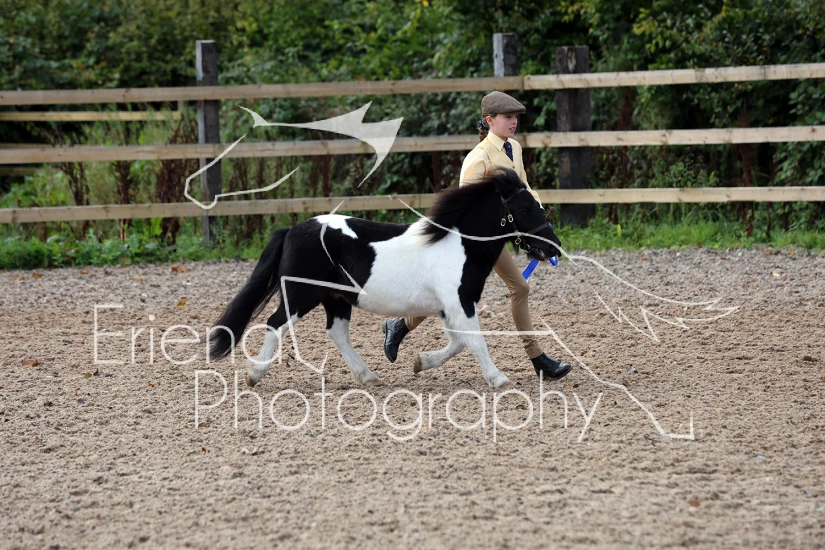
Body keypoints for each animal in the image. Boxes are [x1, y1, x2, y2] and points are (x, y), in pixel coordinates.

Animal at [209, 168, 561, 389]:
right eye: (525, 208)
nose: (553, 246)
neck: (457, 244)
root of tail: (292, 231)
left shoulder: (451, 306)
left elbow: (459, 341)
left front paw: (420, 362)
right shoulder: (459, 302)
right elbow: (474, 340)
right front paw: (498, 379)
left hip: (336, 298)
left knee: (337, 332)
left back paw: (368, 377)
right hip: (300, 295)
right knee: (275, 323)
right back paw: (254, 375)